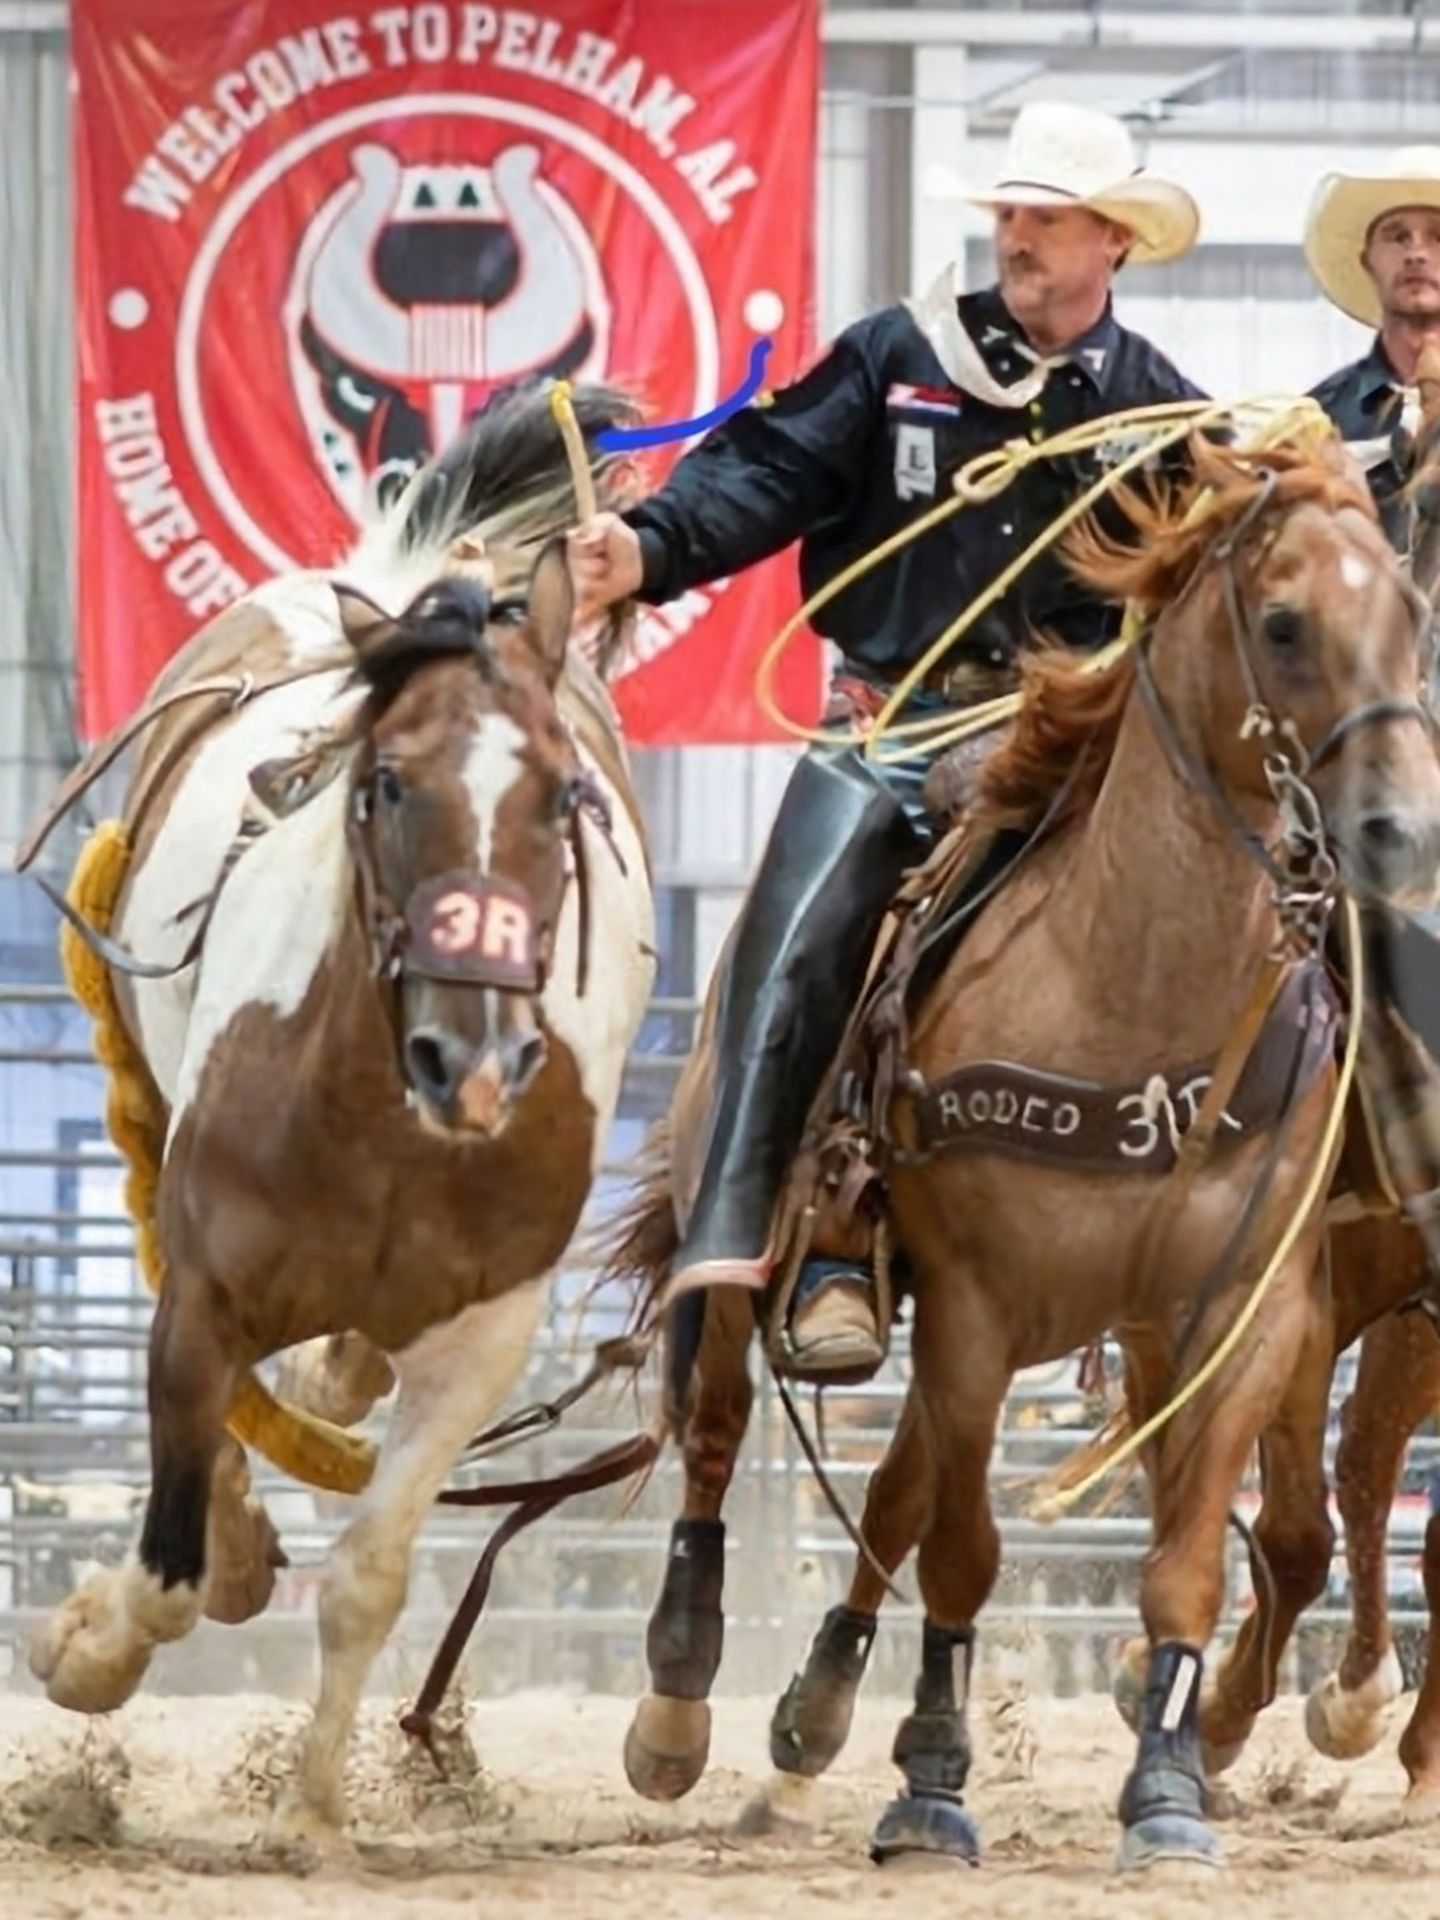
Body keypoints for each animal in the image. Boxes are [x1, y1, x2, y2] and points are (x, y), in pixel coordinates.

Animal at [25, 378, 656, 1827]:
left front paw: (314, 1808)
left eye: (564, 793)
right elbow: (172, 1559)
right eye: (385, 781)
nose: (470, 1057)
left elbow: (368, 1572)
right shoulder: (205, 1289)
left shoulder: (484, 1340)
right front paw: (89, 1648)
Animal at [602, 432, 1440, 1873]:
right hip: (751, 1235)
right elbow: (967, 1552)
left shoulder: (1247, 1309)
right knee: (716, 1440)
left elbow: (1194, 1557)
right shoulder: (978, 1312)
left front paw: (1170, 1784)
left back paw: (819, 1719)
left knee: (895, 1492)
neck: (1128, 981)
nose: (1404, 831)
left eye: (1408, 612)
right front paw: (933, 1787)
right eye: (1283, 624)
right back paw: (679, 1705)